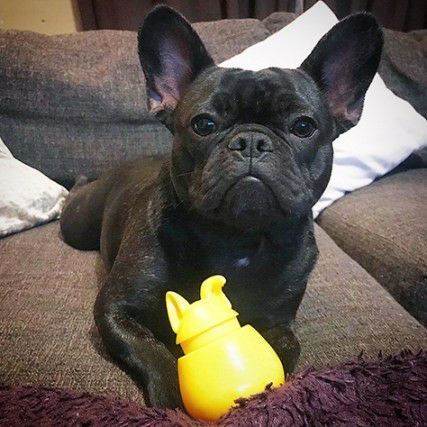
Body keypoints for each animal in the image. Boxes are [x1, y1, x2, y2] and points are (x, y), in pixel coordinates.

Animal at [60, 6, 382, 409]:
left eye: (303, 126)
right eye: (204, 124)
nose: (251, 140)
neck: (236, 236)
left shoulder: (279, 321)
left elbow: (286, 348)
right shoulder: (115, 308)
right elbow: (150, 350)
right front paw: (172, 398)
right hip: (78, 224)